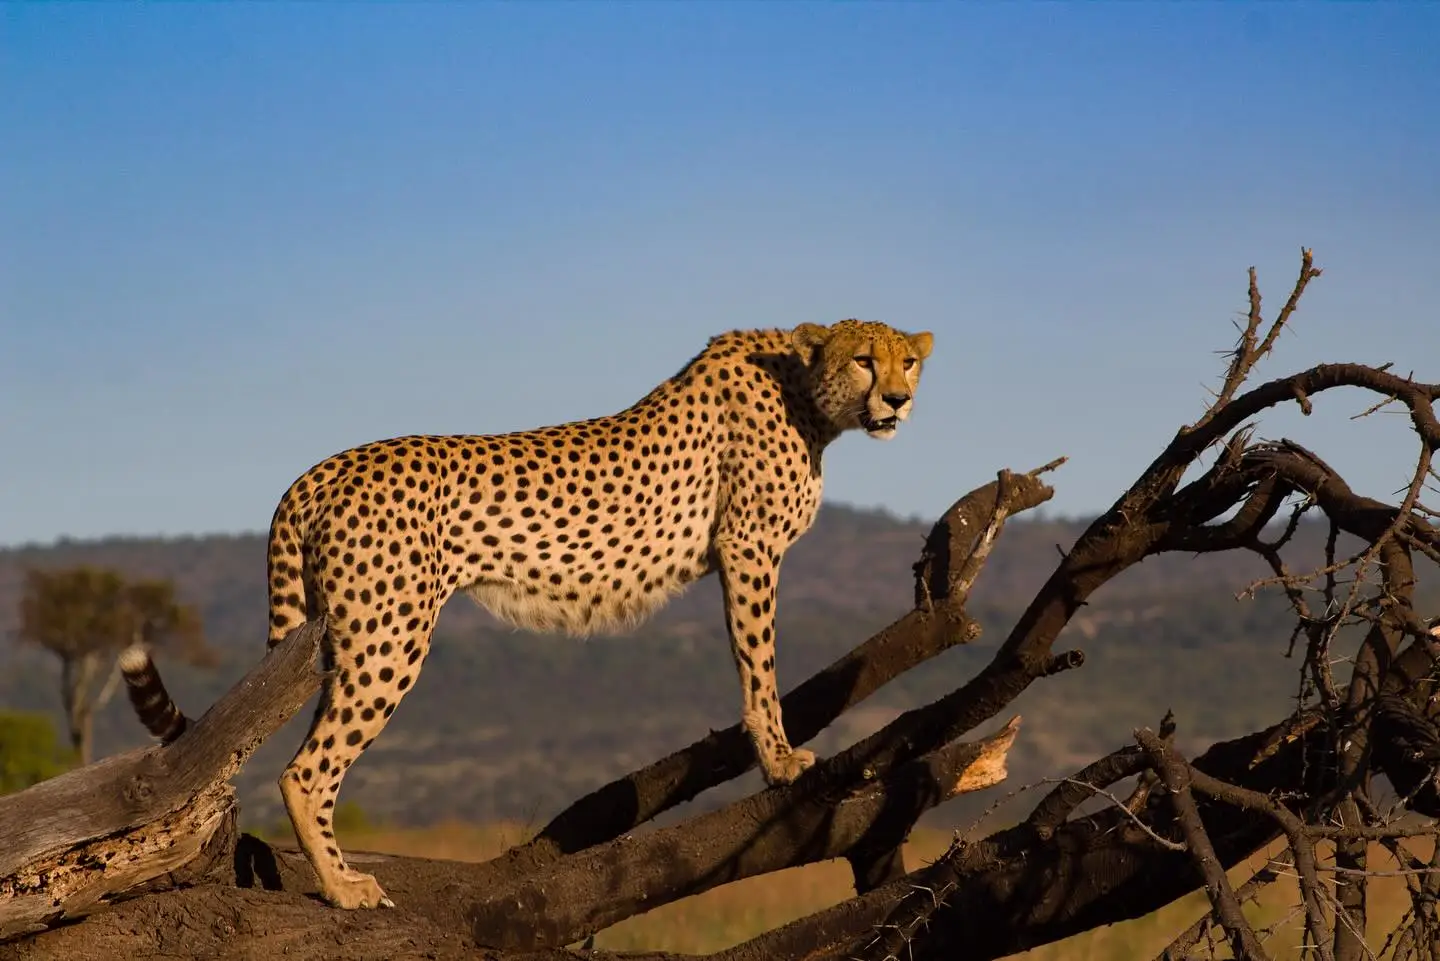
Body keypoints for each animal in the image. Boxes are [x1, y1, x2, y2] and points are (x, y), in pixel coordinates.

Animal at [120, 319, 933, 916]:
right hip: (390, 635)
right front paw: (781, 759)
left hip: (335, 638)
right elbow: (759, 662)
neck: (804, 388)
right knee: (307, 769)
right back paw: (344, 887)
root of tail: (319, 468)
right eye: (865, 361)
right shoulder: (749, 549)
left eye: (908, 364)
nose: (897, 401)